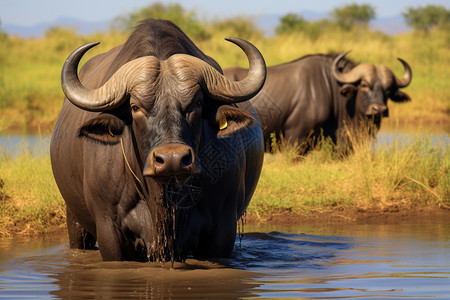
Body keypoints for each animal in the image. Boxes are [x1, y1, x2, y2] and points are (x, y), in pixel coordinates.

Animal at [50, 19, 268, 262]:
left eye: (197, 103)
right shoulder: (110, 232)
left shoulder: (221, 231)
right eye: (135, 107)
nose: (172, 159)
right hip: (74, 218)